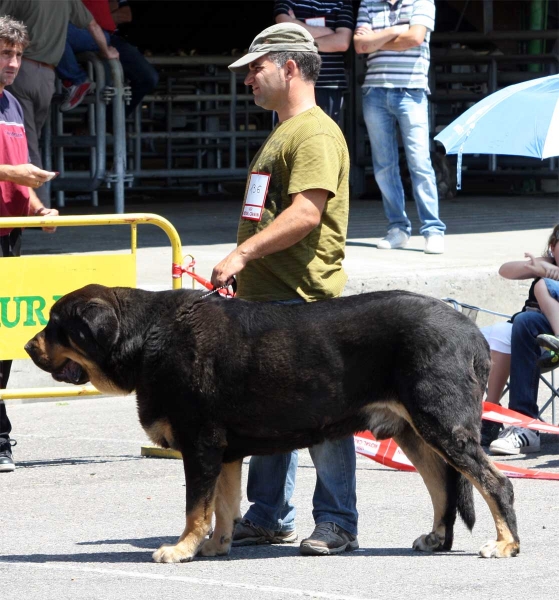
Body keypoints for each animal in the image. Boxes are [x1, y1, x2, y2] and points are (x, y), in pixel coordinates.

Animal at [24, 286, 520, 564]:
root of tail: (471, 331)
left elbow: (195, 508)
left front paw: (181, 549)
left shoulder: (199, 445)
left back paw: (505, 544)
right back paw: (437, 539)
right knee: (443, 487)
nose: (28, 346)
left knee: (495, 483)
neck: (148, 338)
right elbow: (222, 507)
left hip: (441, 424)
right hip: (414, 431)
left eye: (55, 324)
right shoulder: (222, 452)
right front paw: (214, 546)